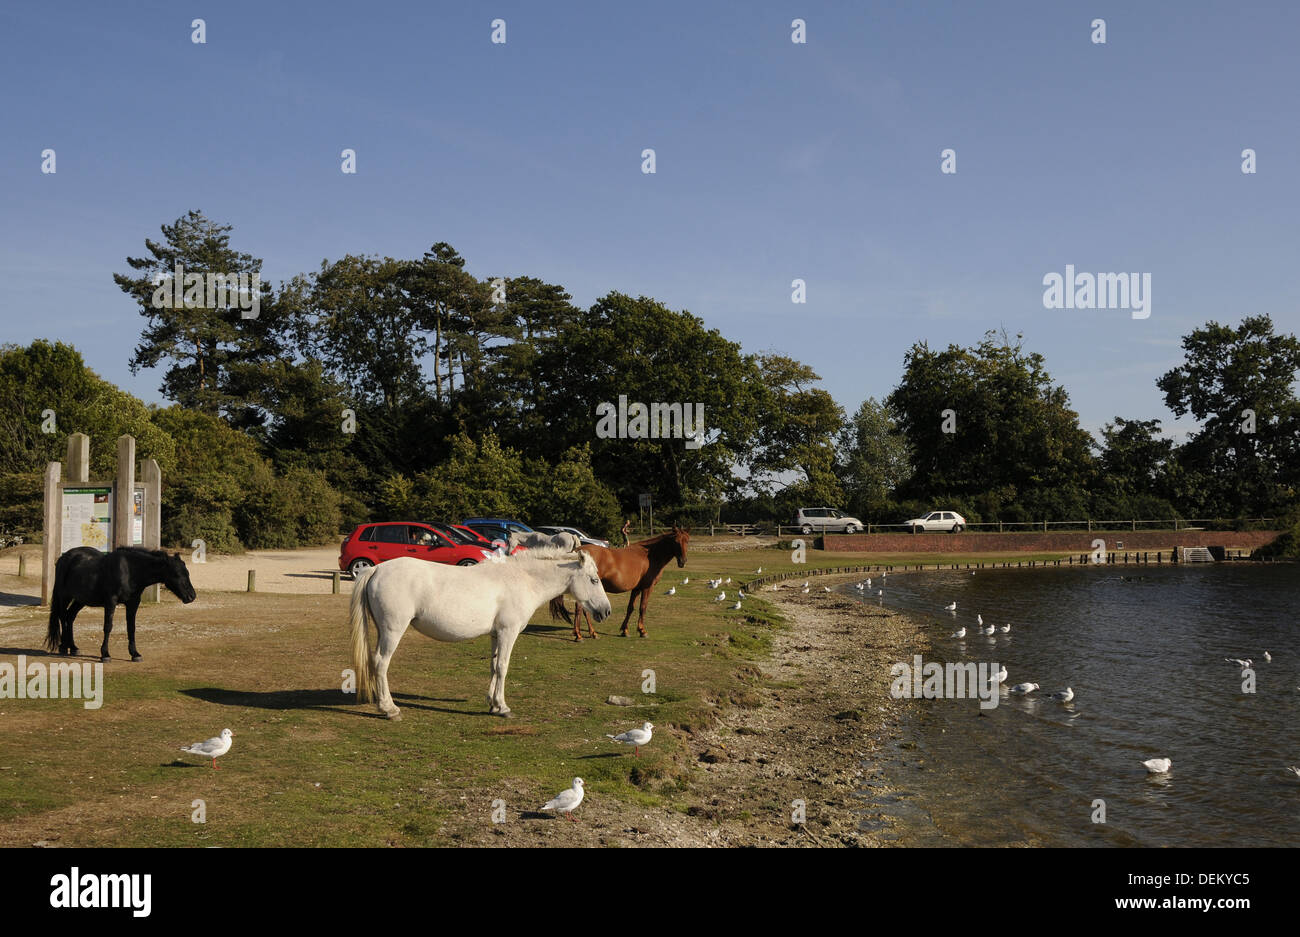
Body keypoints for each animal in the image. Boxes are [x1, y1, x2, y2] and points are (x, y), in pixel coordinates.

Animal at [45, 547, 198, 662]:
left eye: (187, 573)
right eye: (177, 574)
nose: (192, 596)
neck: (130, 571)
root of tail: (64, 557)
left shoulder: (133, 604)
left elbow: (131, 628)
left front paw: (135, 654)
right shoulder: (110, 602)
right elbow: (108, 627)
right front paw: (105, 654)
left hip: (80, 599)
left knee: (70, 617)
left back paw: (73, 647)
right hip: (64, 596)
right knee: (63, 617)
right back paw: (63, 647)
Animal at [348, 545, 612, 719]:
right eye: (594, 580)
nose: (606, 611)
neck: (522, 580)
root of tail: (376, 569)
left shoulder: (496, 634)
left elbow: (494, 666)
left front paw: (493, 704)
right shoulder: (508, 632)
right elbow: (503, 667)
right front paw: (503, 708)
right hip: (393, 630)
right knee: (381, 662)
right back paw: (389, 709)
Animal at [550, 527, 690, 640]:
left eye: (687, 541)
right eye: (676, 542)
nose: (683, 561)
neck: (649, 556)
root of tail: (578, 550)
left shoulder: (636, 588)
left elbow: (630, 608)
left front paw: (625, 630)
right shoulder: (647, 588)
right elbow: (642, 608)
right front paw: (642, 631)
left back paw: (592, 633)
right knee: (580, 609)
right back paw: (579, 635)